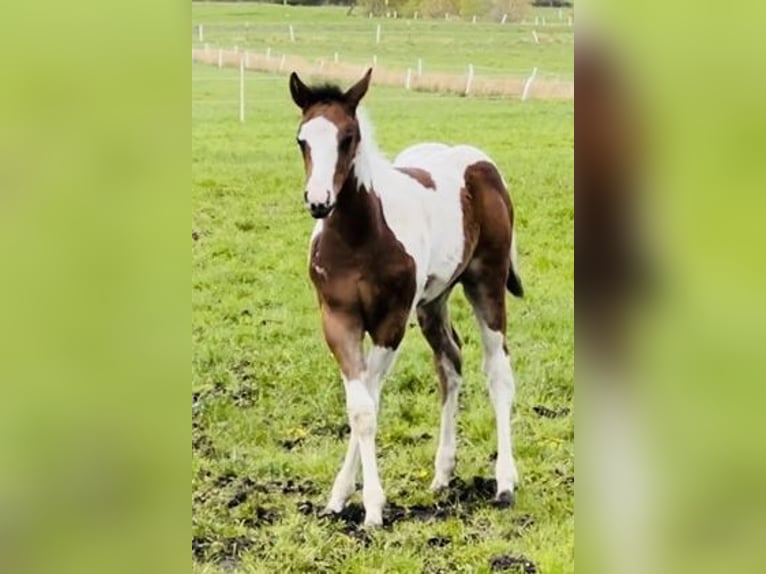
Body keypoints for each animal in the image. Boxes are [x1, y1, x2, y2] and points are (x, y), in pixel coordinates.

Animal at [292, 70, 524, 528]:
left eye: (348, 137)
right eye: (302, 139)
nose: (319, 202)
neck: (358, 239)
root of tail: (481, 165)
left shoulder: (391, 322)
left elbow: (370, 401)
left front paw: (372, 507)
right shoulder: (338, 320)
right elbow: (361, 405)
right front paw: (340, 497)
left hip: (486, 282)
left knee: (498, 371)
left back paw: (505, 483)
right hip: (432, 301)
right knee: (450, 363)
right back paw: (443, 473)